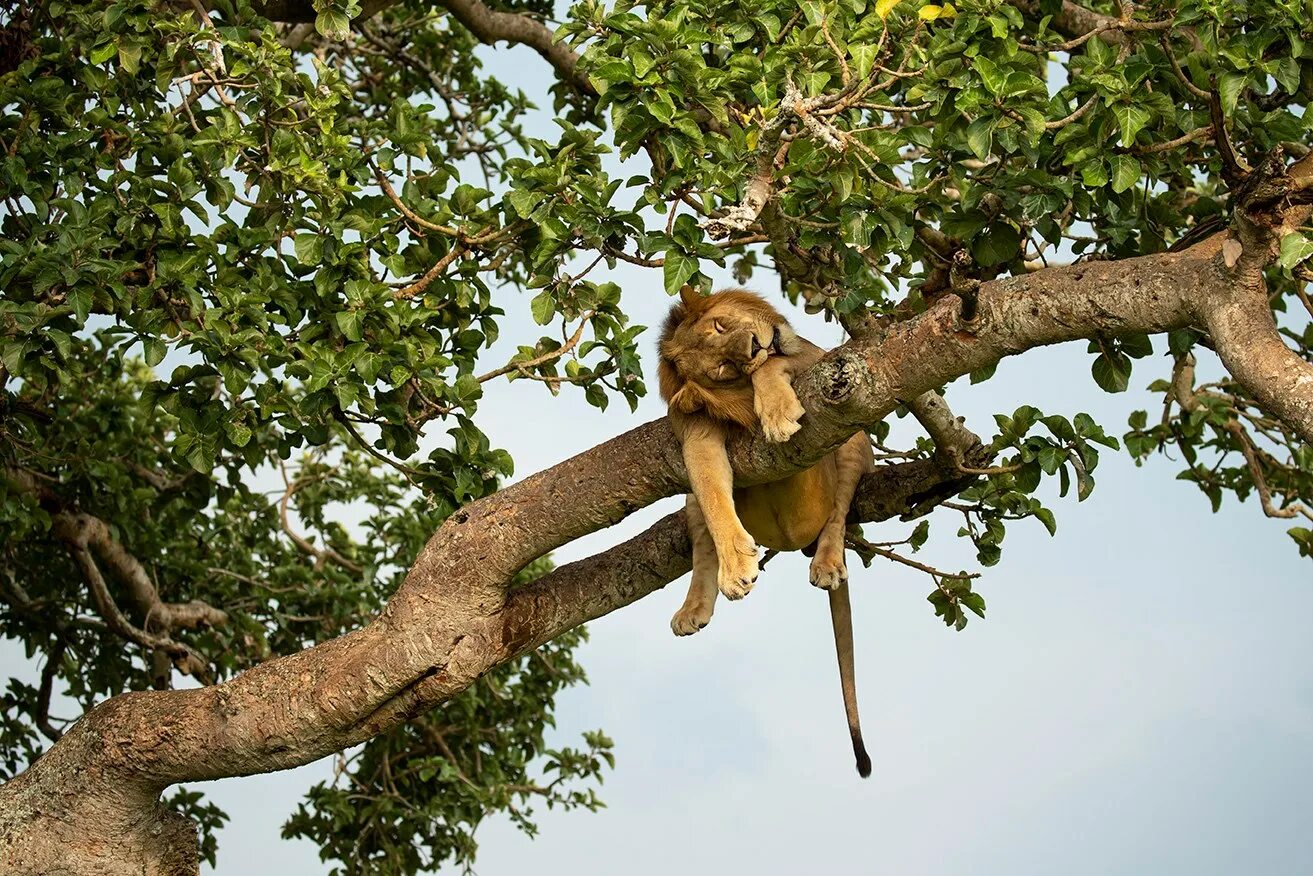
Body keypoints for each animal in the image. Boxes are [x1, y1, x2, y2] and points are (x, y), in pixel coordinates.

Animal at [656, 284, 871, 777]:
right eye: (721, 367)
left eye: (719, 325)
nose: (755, 344)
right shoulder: (696, 435)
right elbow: (714, 498)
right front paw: (737, 567)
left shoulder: (821, 362)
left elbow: (774, 369)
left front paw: (775, 411)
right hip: (694, 500)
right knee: (702, 535)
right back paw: (694, 607)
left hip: (852, 441)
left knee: (839, 513)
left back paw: (827, 562)